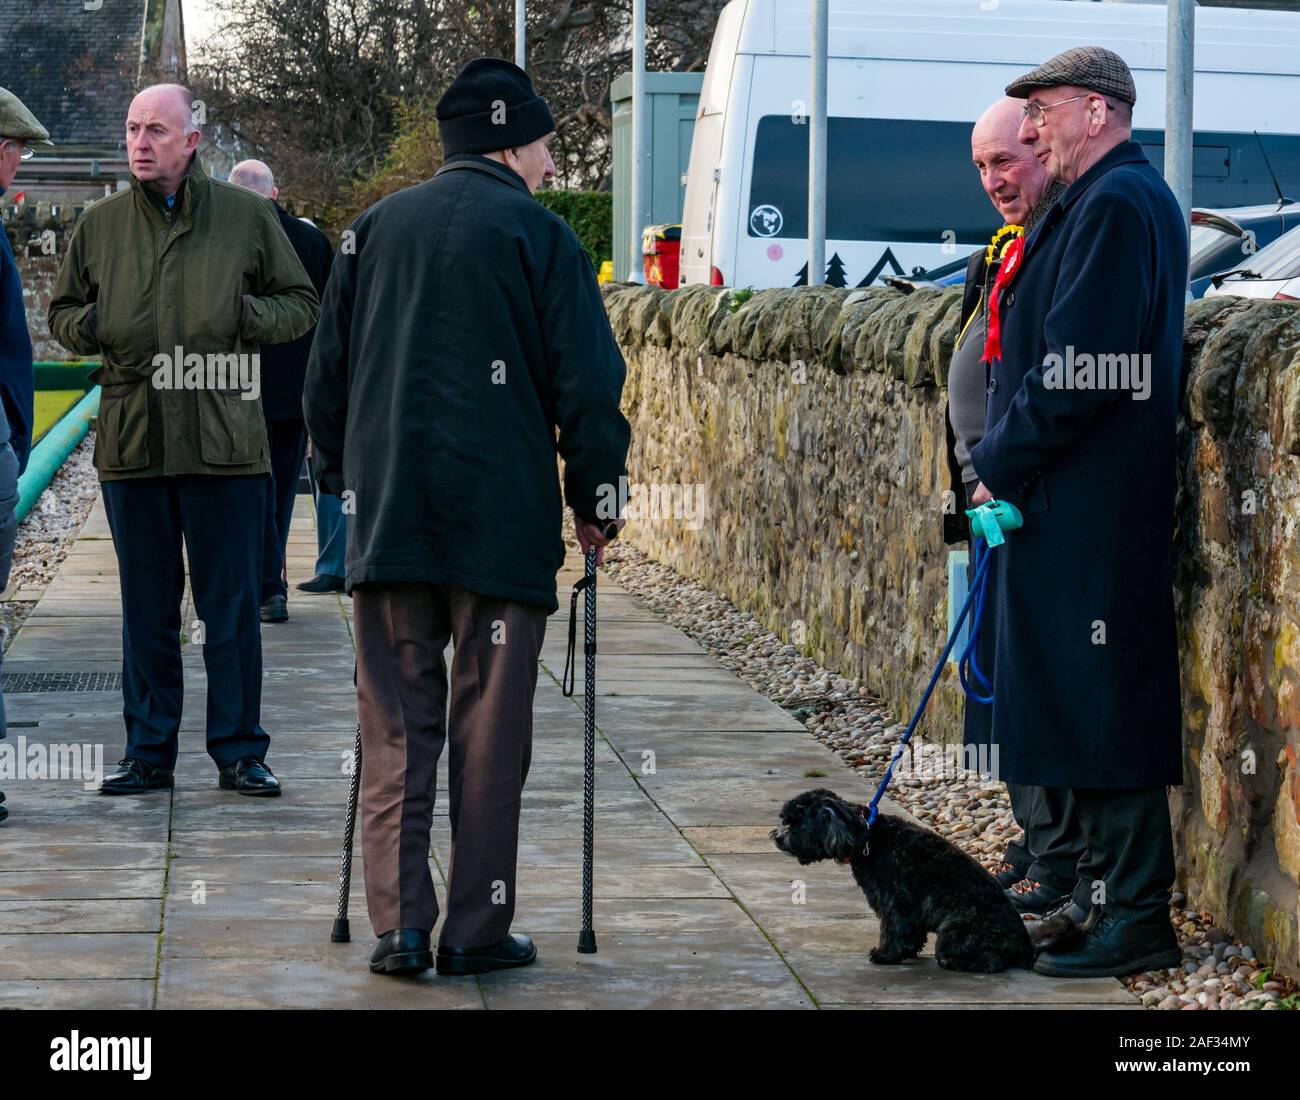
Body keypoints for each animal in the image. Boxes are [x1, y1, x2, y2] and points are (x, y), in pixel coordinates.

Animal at [769, 790, 1034, 972]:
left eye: (798, 823)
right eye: (785, 820)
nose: (778, 838)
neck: (866, 835)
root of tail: (1023, 945)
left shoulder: (893, 902)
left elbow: (893, 930)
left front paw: (885, 955)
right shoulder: (911, 908)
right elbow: (912, 933)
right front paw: (907, 952)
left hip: (954, 934)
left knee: (990, 961)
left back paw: (958, 962)